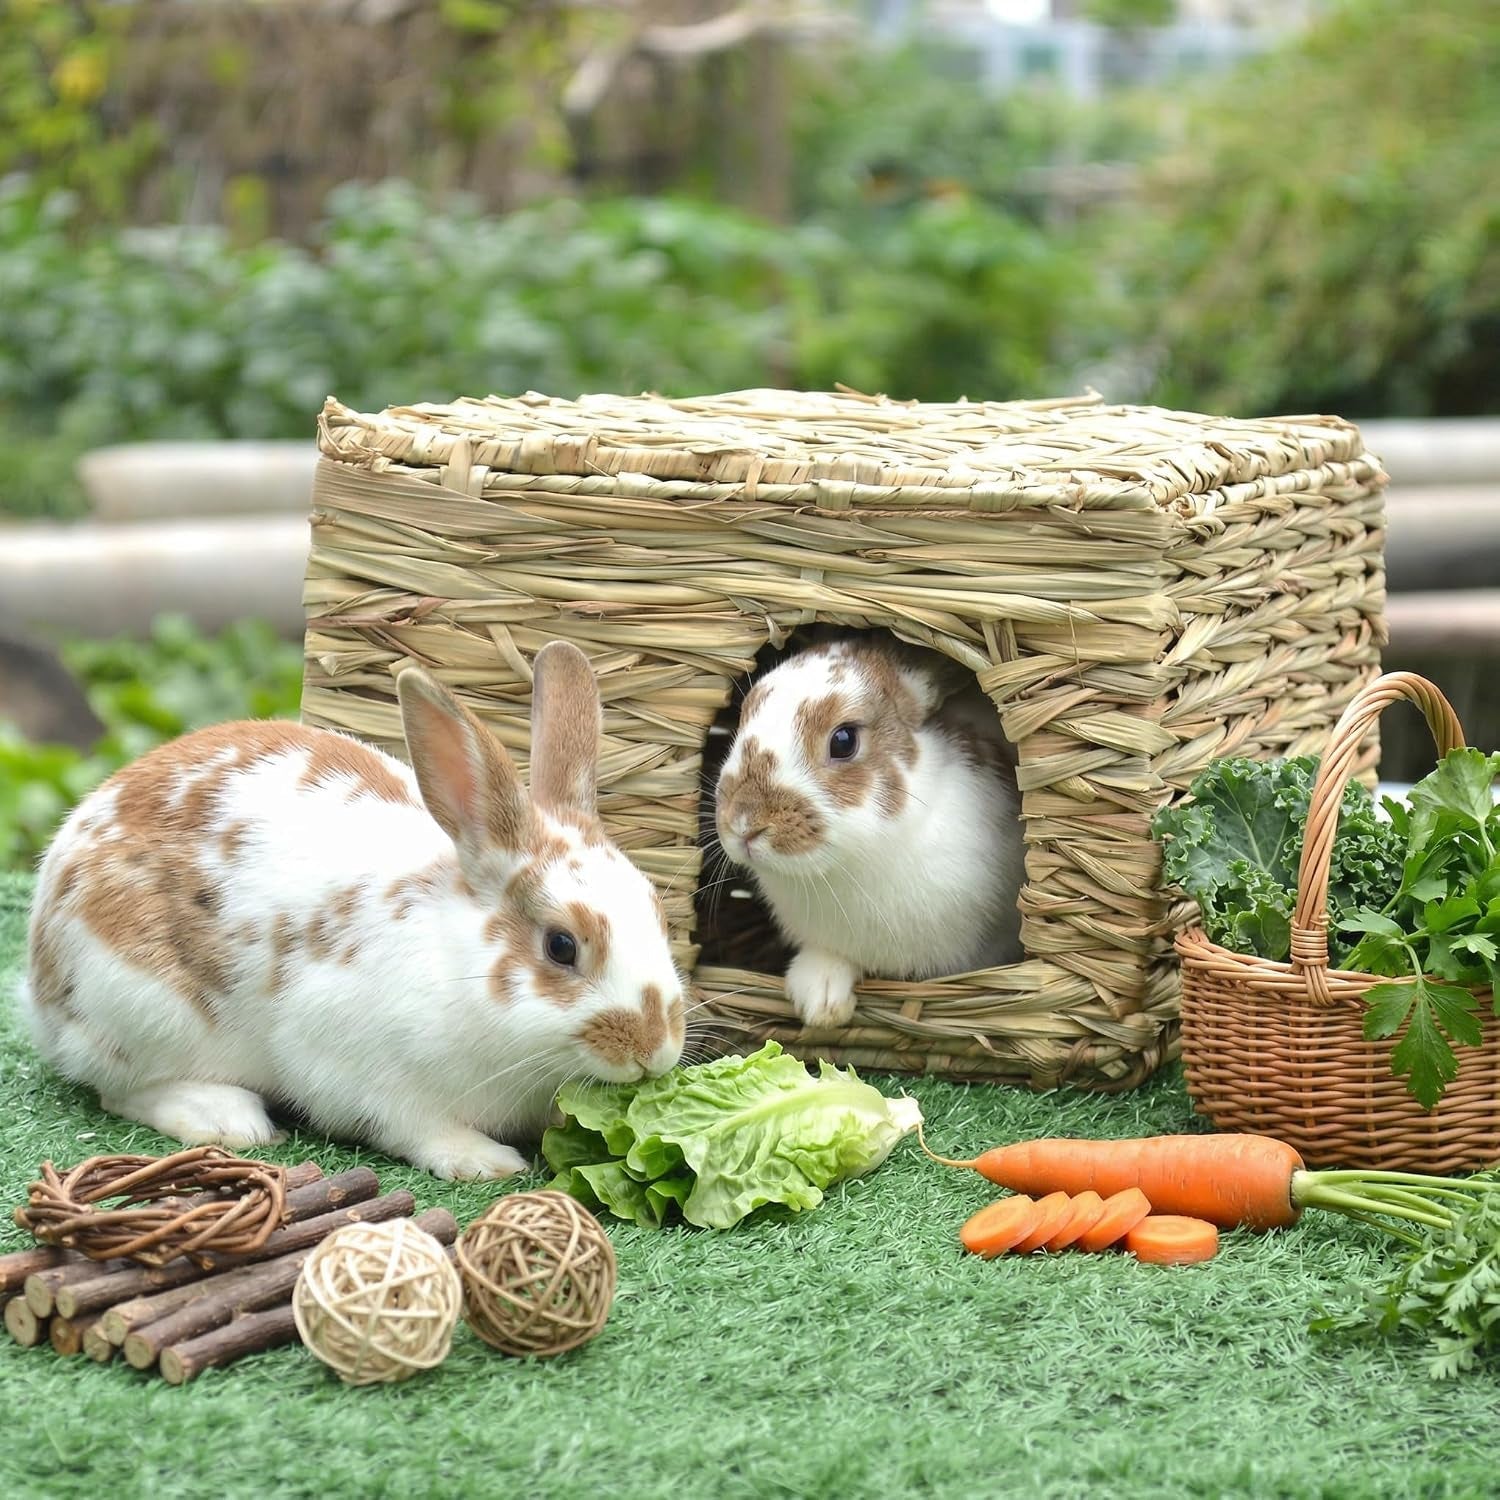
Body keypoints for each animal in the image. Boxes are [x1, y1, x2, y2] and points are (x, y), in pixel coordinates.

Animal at [19, 641, 686, 1180]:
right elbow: (414, 1126)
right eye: (561, 946)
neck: (458, 963)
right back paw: (227, 1119)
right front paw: (483, 1161)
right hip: (141, 1007)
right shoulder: (358, 1070)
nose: (655, 1049)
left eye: (657, 911)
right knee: (119, 1088)